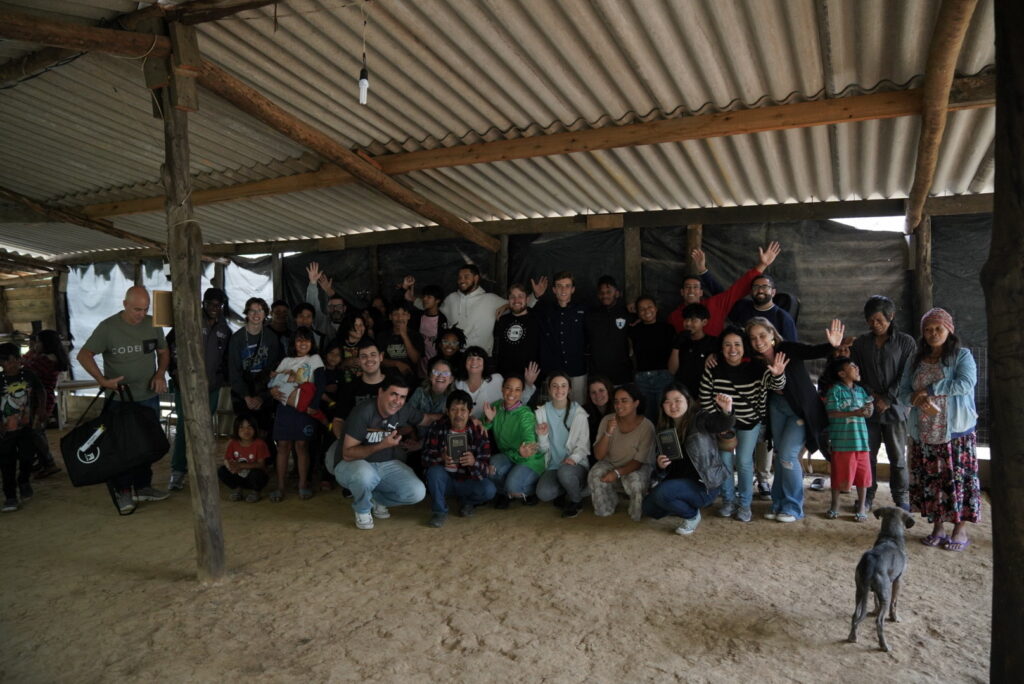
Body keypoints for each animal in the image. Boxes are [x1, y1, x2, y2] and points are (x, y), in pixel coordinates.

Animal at [843, 507, 917, 651]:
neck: (890, 536)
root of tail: (871, 564)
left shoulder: (876, 591)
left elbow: (875, 599)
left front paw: (874, 610)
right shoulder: (898, 580)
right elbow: (895, 602)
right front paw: (895, 618)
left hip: (860, 590)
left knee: (855, 615)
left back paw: (852, 637)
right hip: (885, 594)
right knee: (879, 622)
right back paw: (884, 646)